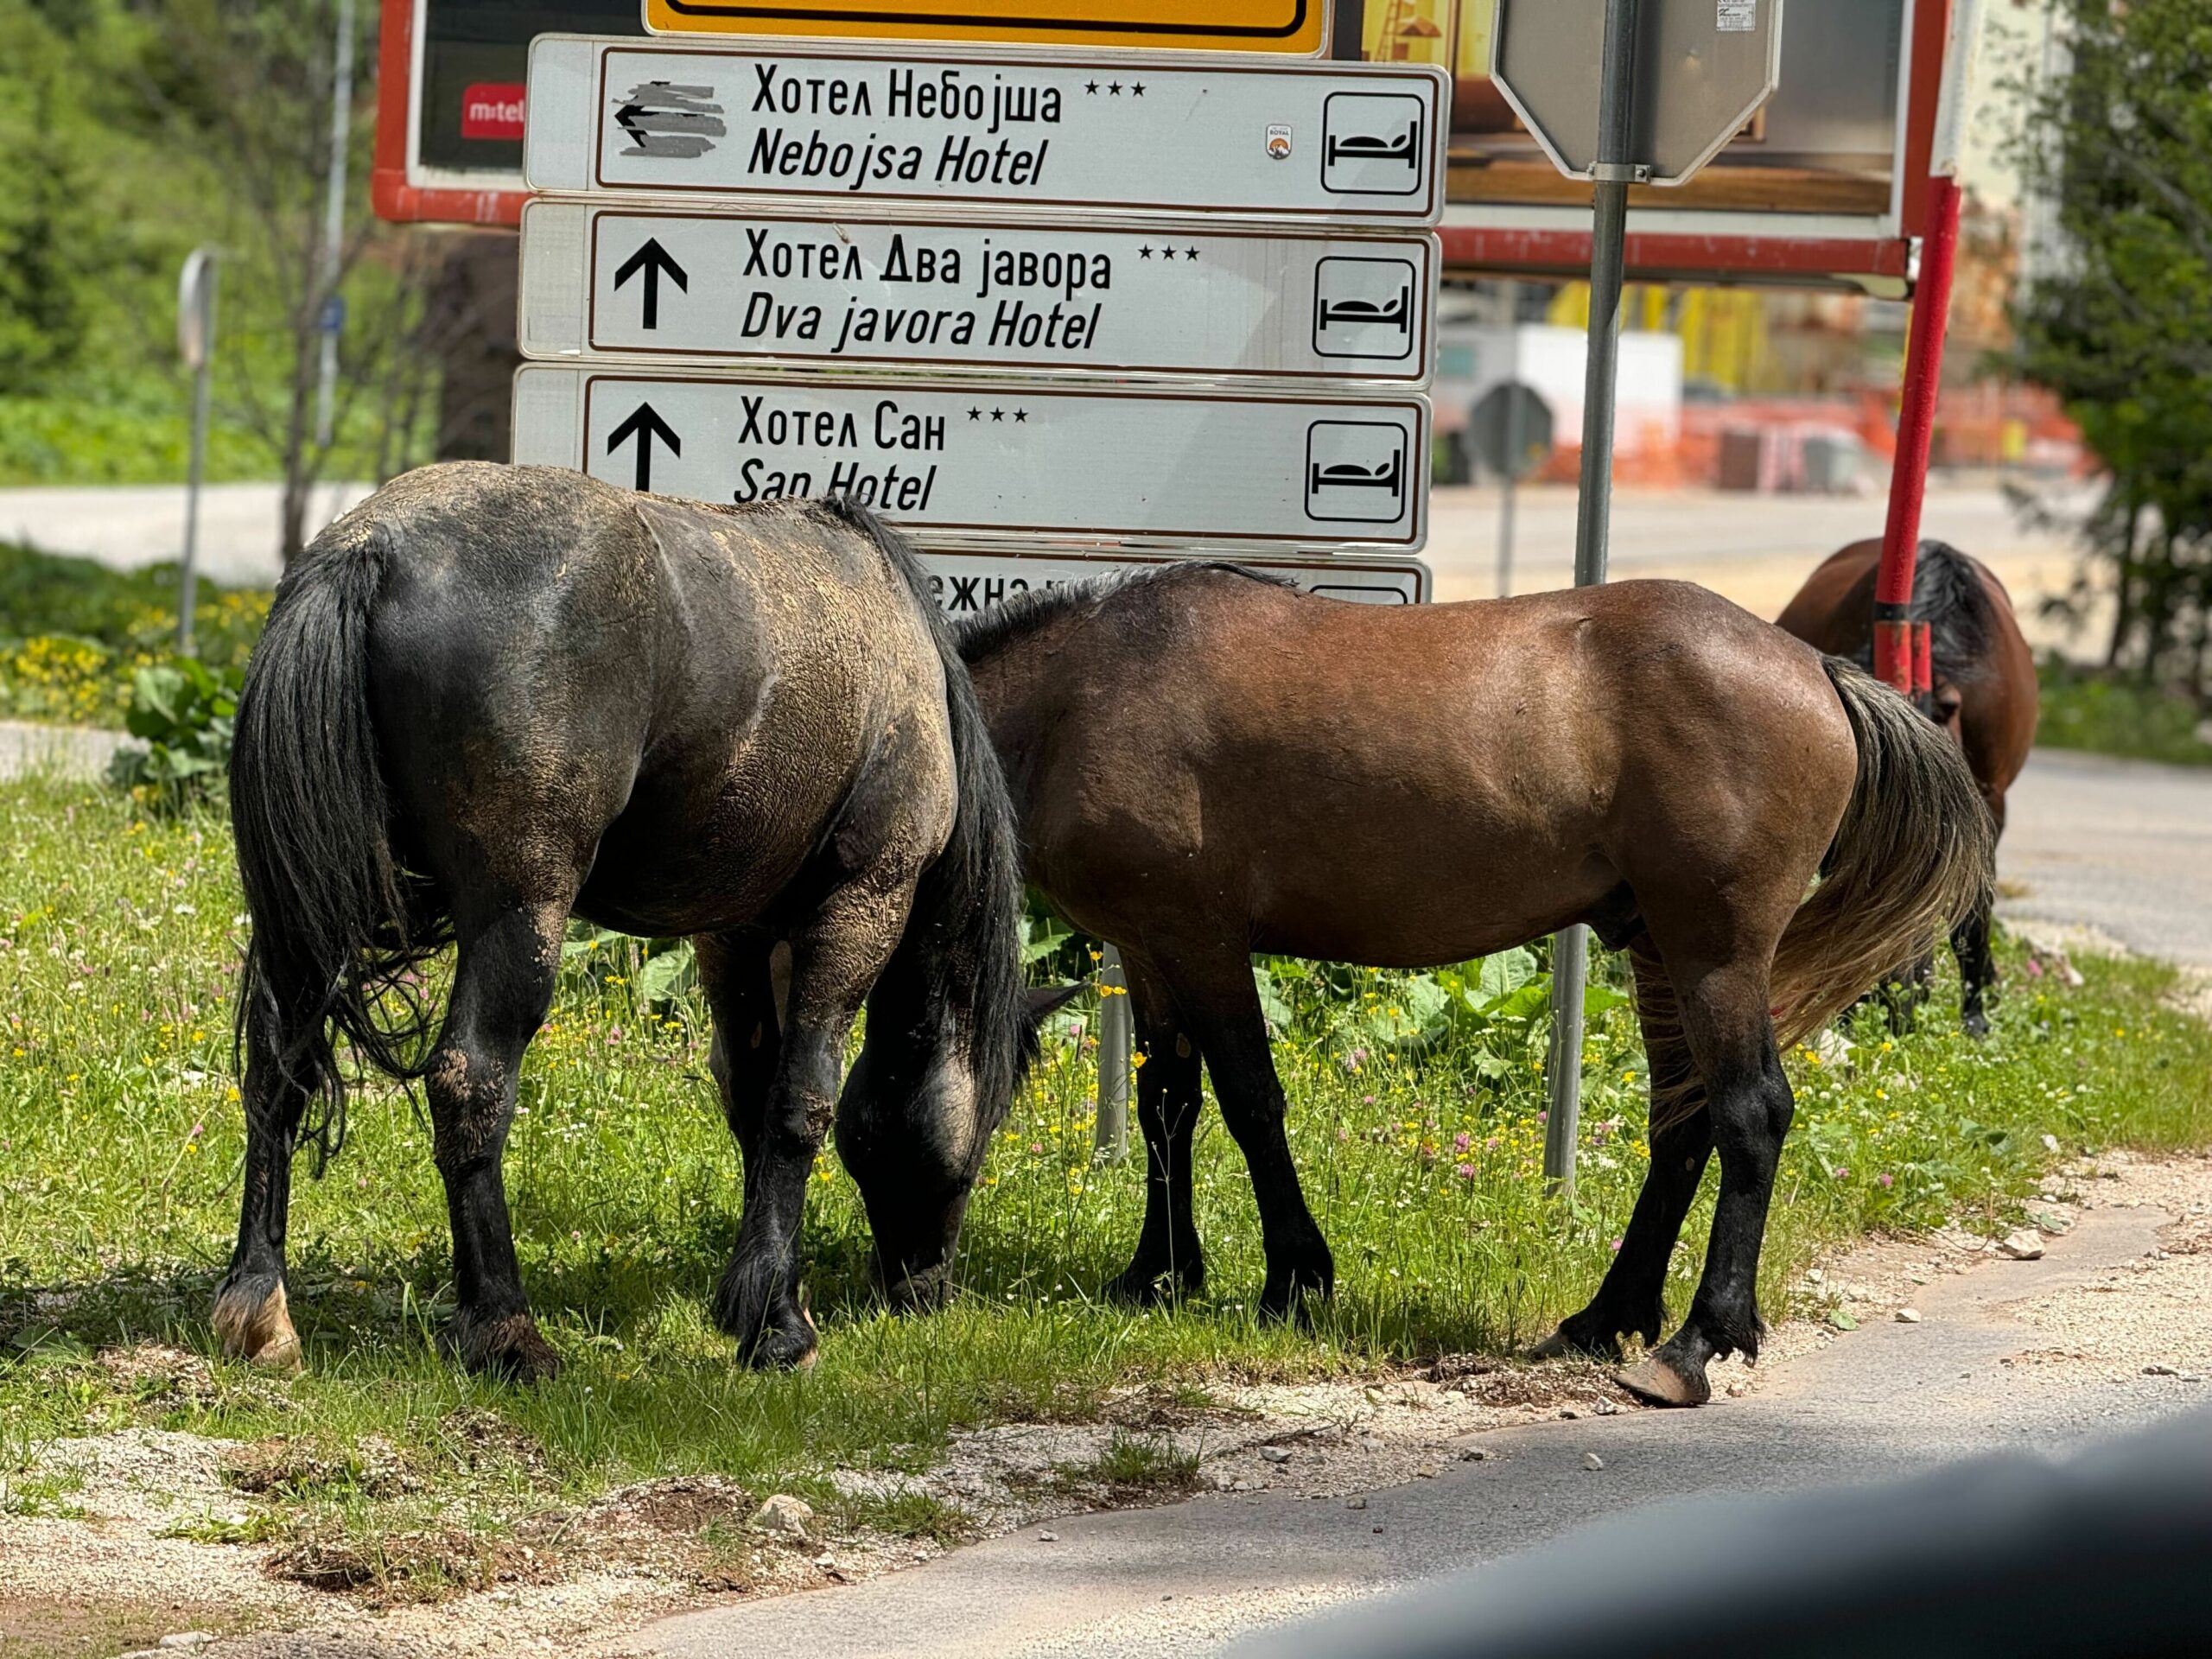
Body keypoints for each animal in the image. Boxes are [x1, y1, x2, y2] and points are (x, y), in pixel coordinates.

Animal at [211, 464, 1039, 1380]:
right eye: (982, 1138)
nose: (925, 1292)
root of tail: (372, 546)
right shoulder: (861, 905)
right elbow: (802, 1102)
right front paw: (776, 1325)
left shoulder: (734, 936)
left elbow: (752, 1099)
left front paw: (763, 1297)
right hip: (521, 914)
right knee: (469, 1080)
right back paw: (506, 1328)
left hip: (306, 921)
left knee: (276, 1070)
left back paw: (258, 1301)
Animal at [960, 570, 1999, 1415]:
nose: (923, 1275)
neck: (1080, 691)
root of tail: (1821, 672)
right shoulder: (1148, 949)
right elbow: (1166, 1108)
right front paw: (1158, 1274)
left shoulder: (1201, 940)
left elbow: (1251, 1103)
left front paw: (1293, 1279)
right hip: (1659, 952)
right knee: (1682, 1124)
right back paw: (1603, 1316)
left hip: (1716, 953)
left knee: (1750, 1114)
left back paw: (1692, 1345)